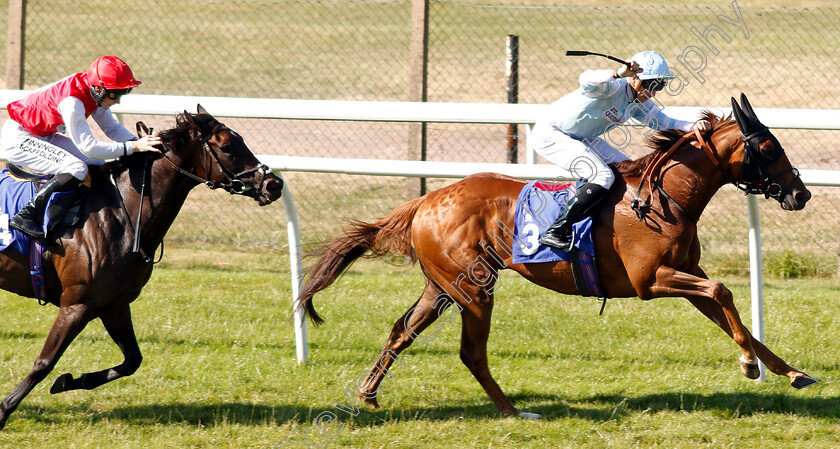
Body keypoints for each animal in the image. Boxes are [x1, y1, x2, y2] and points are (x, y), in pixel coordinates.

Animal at [0, 106, 284, 428]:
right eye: (226, 146)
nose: (274, 184)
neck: (123, 213)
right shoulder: (76, 304)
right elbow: (44, 362)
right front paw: (5, 408)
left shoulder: (114, 304)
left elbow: (132, 361)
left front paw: (69, 381)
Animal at [298, 93, 816, 416]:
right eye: (767, 146)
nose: (802, 194)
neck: (663, 199)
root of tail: (426, 200)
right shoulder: (652, 281)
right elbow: (724, 291)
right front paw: (750, 365)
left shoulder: (685, 276)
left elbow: (733, 314)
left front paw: (788, 371)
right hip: (474, 290)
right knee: (471, 352)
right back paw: (513, 411)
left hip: (441, 287)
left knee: (402, 331)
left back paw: (369, 393)